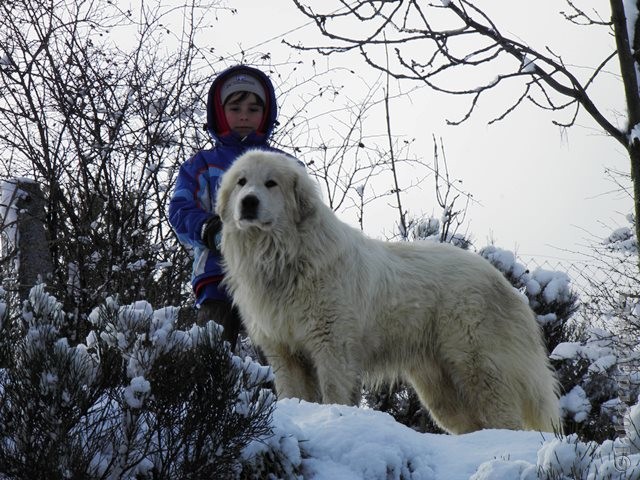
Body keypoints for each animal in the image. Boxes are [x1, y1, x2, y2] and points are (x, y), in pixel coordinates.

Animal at [216, 150, 560, 436]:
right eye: (242, 182)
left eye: (270, 183)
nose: (248, 201)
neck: (282, 257)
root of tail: (503, 282)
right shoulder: (284, 352)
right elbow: (293, 393)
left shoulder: (332, 347)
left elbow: (334, 394)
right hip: (439, 388)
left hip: (479, 367)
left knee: (505, 420)